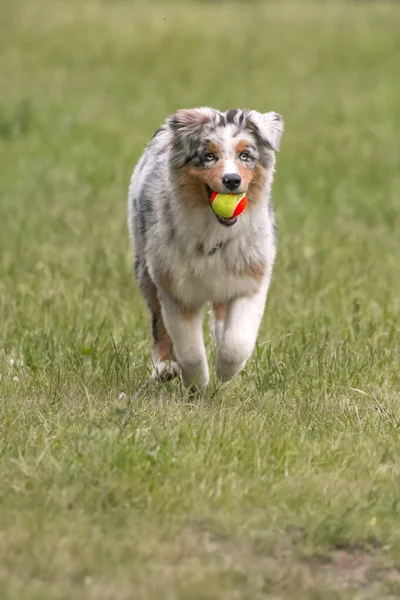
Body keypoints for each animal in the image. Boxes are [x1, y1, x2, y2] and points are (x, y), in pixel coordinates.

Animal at [126, 106, 282, 392]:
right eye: (209, 156)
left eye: (245, 155)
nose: (231, 180)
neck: (214, 232)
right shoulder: (175, 288)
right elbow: (189, 349)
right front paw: (198, 382)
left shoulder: (250, 278)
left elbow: (237, 341)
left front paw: (226, 372)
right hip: (145, 267)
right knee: (159, 323)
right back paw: (164, 367)